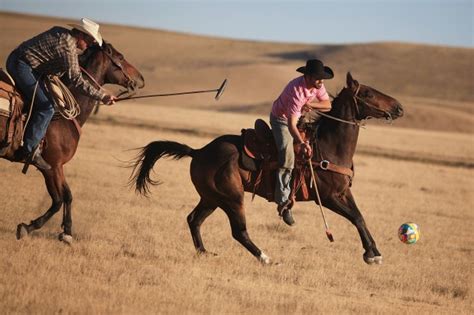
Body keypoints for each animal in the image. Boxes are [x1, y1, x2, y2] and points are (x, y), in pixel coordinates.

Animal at [0, 42, 144, 243]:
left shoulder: (57, 167)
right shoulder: (51, 166)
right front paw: (28, 227)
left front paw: (67, 231)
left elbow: (67, 195)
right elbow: (58, 200)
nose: (140, 79)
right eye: (120, 57)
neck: (63, 118)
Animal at [131, 73, 404, 266]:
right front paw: (372, 255)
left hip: (211, 198)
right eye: (367, 93)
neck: (328, 146)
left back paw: (204, 253)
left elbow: (360, 217)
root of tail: (198, 151)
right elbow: (355, 218)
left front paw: (373, 252)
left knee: (194, 220)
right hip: (231, 198)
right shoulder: (326, 198)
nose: (399, 107)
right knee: (238, 231)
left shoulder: (343, 193)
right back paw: (265, 257)